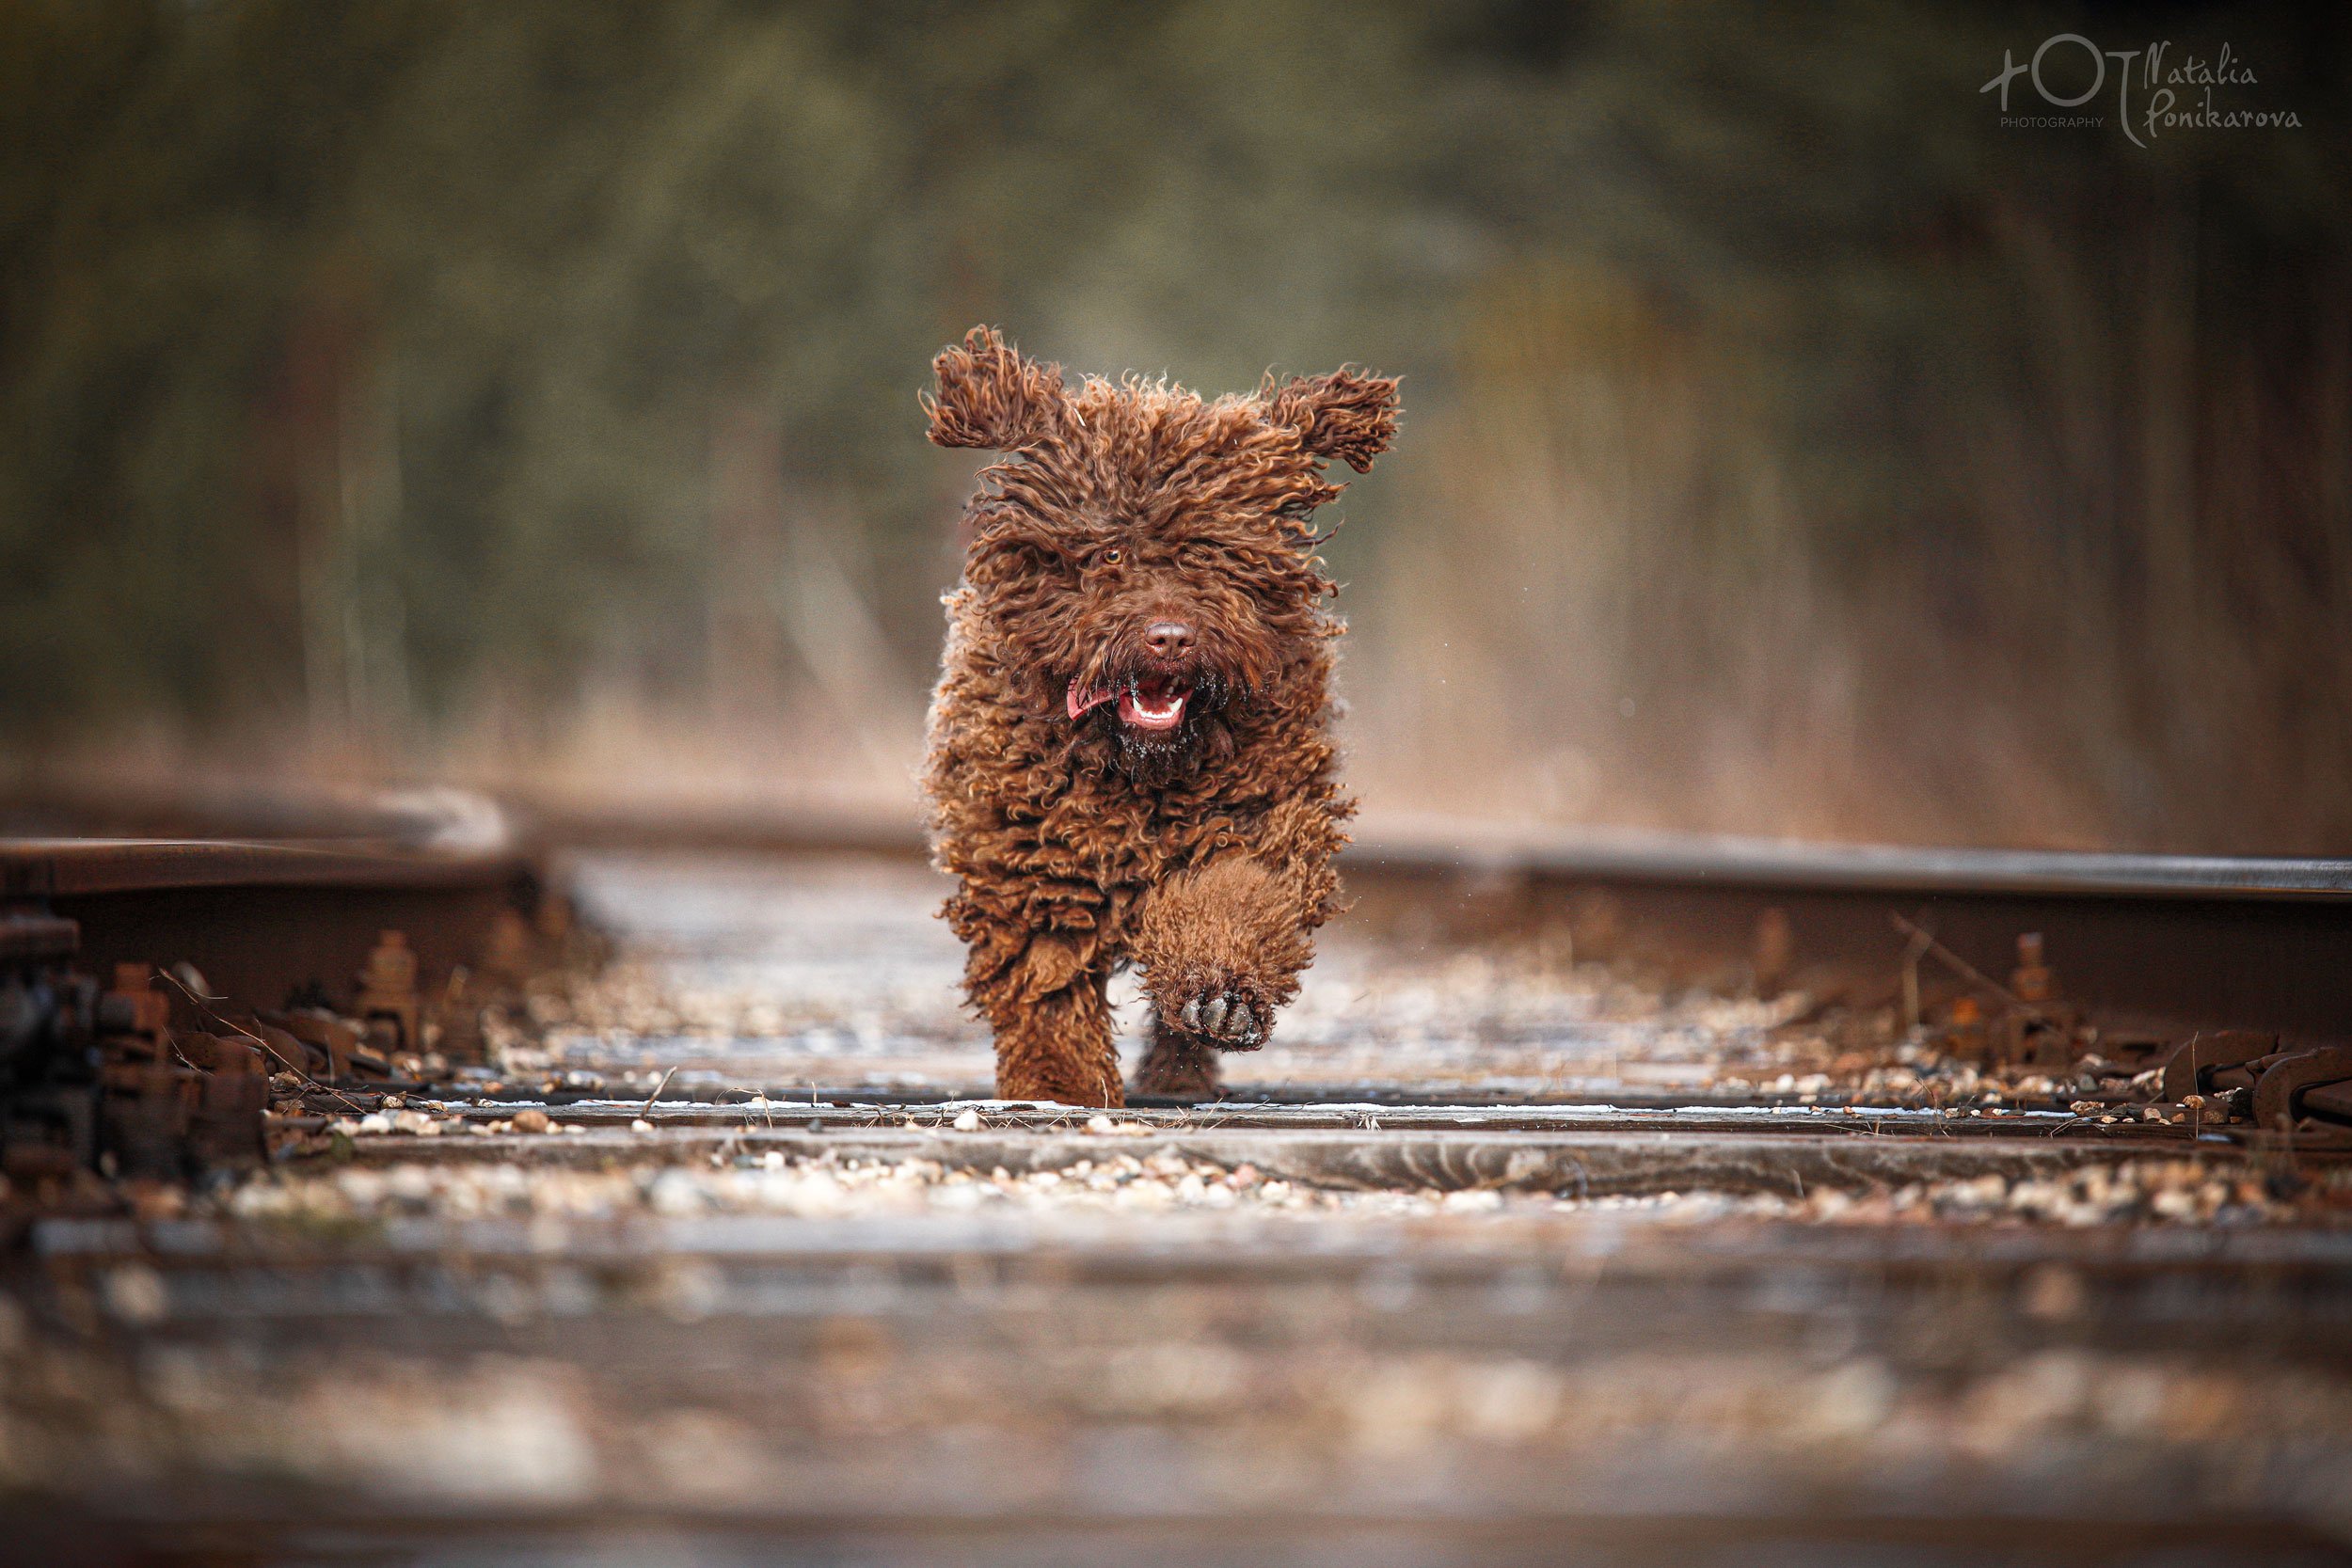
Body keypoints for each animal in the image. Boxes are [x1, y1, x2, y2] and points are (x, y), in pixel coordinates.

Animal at [917, 322, 1392, 1104]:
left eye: (1214, 556)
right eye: (1110, 553)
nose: (1170, 636)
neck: (1137, 765)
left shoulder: (1258, 820)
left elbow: (1233, 896)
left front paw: (1220, 993)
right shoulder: (1031, 853)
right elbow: (1045, 979)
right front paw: (1059, 1081)